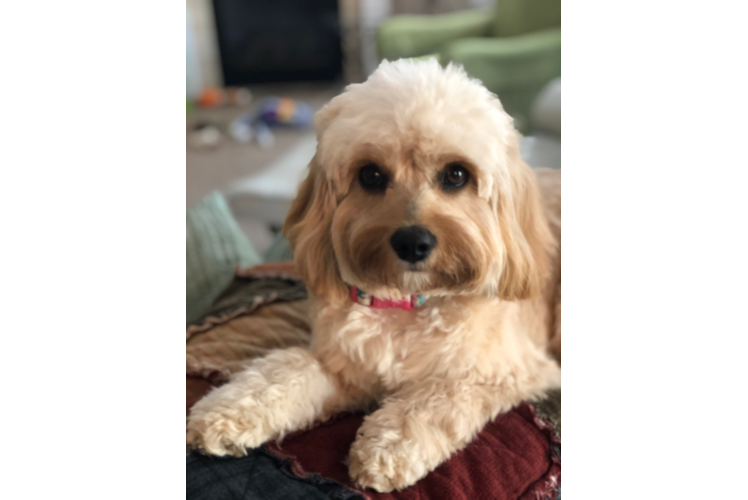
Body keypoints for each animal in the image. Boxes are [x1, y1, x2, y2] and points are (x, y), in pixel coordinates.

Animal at [187, 59, 560, 492]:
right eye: (370, 175)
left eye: (456, 175)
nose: (413, 242)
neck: (406, 301)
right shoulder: (342, 367)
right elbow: (286, 371)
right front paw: (225, 411)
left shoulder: (506, 372)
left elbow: (440, 393)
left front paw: (390, 445)